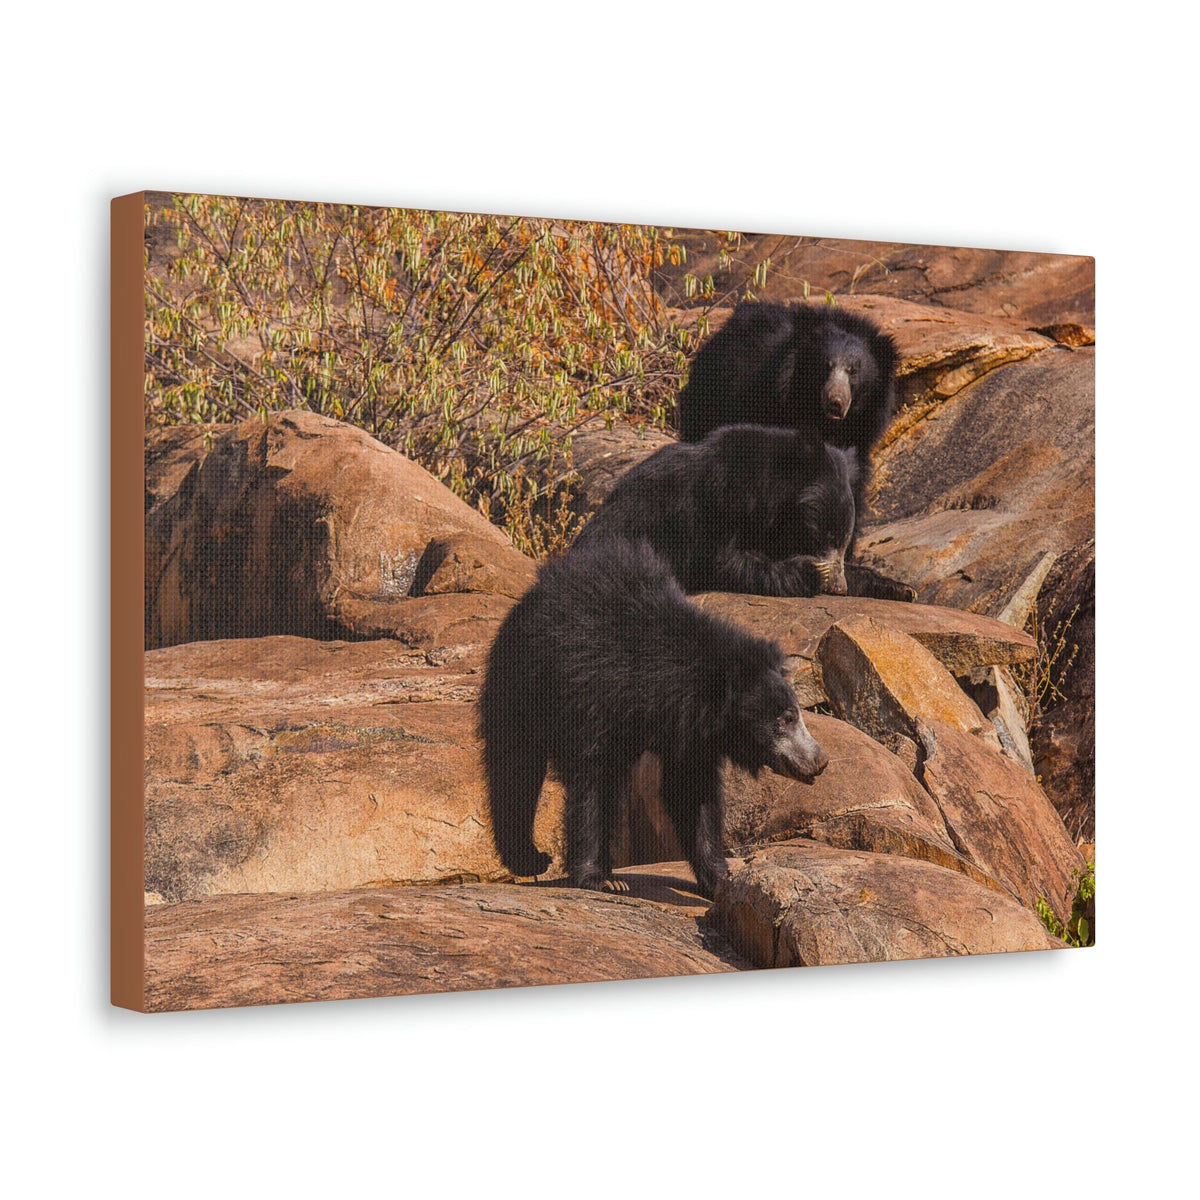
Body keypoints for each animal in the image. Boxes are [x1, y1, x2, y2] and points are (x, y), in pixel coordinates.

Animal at [479, 539, 828, 898]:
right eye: (785, 718)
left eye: (795, 714)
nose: (819, 761)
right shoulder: (593, 696)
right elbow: (594, 781)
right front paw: (603, 879)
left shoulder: (691, 733)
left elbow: (692, 792)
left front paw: (720, 879)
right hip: (522, 681)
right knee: (515, 766)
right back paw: (530, 859)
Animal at [572, 424, 858, 597]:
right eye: (828, 537)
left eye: (845, 543)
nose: (840, 588)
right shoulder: (720, 500)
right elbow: (721, 561)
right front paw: (811, 573)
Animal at [675, 301, 914, 600]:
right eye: (826, 366)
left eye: (853, 370)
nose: (836, 402)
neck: (822, 419)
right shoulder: (764, 402)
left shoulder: (861, 431)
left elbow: (850, 488)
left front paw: (894, 585)